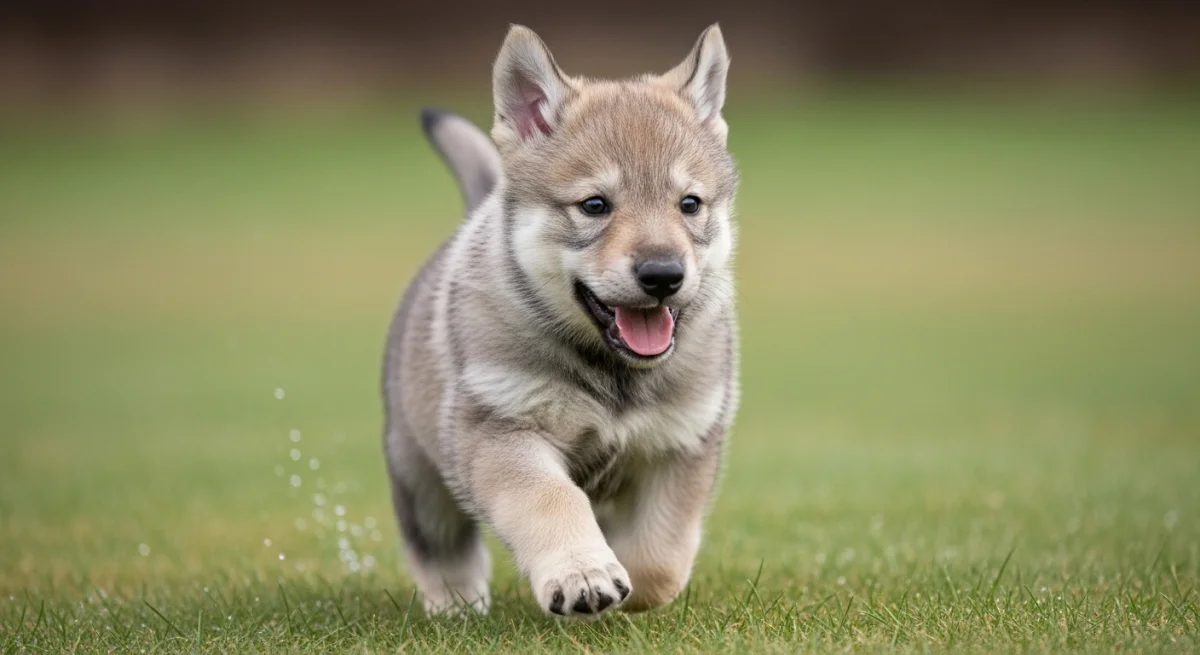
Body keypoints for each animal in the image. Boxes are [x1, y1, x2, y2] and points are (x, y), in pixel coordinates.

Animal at [382, 23, 739, 618]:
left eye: (689, 204)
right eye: (595, 205)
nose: (663, 275)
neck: (614, 376)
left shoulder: (680, 445)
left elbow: (659, 559)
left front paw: (625, 584)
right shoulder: (503, 431)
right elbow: (551, 498)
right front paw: (583, 573)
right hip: (420, 473)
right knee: (439, 546)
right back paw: (456, 604)